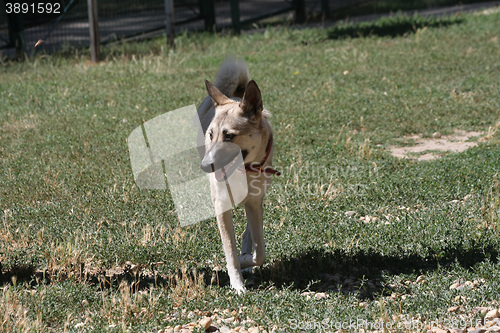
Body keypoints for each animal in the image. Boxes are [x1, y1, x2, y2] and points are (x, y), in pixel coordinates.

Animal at [197, 58, 280, 292]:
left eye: (229, 136)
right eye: (211, 134)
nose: (205, 166)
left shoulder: (254, 202)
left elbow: (260, 253)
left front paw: (246, 261)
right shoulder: (221, 204)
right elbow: (230, 251)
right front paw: (237, 284)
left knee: (249, 233)